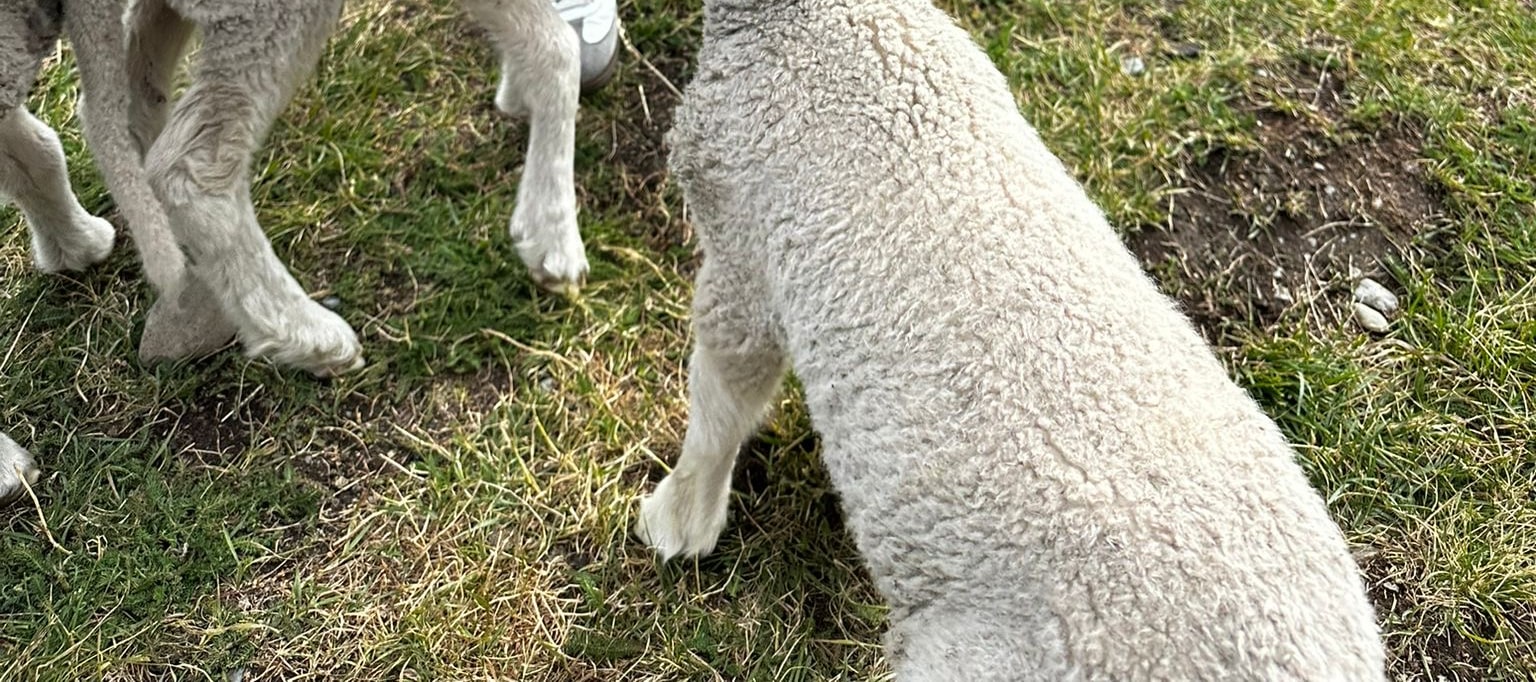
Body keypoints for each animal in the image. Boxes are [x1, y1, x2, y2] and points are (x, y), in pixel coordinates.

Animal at [1, 0, 586, 500]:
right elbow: (558, 45)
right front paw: (551, 233)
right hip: (267, 14)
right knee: (190, 166)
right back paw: (307, 335)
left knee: (115, 113)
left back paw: (102, 256)